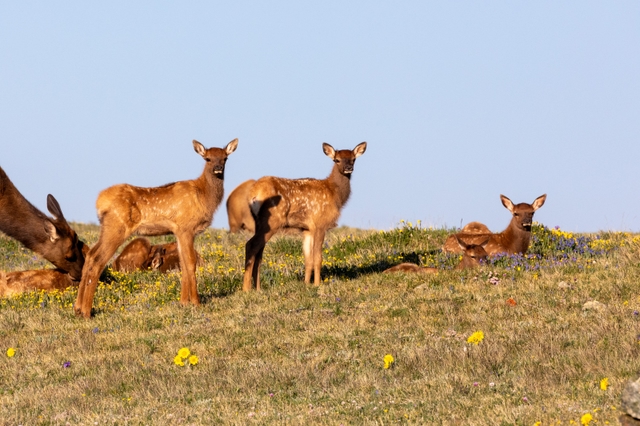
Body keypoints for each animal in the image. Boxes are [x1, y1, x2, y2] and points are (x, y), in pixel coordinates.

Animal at [74, 138, 238, 318]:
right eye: (207, 158)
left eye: (225, 158)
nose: (218, 168)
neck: (203, 196)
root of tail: (99, 202)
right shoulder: (186, 227)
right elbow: (190, 263)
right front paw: (196, 302)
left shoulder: (178, 231)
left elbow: (183, 263)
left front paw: (183, 303)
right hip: (117, 227)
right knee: (98, 260)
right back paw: (86, 312)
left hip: (107, 228)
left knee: (90, 255)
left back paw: (77, 309)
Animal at [243, 142, 367, 291]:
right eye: (336, 160)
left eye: (353, 159)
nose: (349, 168)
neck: (335, 194)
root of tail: (253, 193)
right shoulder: (320, 223)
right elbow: (318, 258)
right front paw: (317, 284)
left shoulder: (307, 229)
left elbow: (308, 258)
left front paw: (306, 284)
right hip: (273, 220)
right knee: (251, 245)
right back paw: (246, 289)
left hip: (259, 222)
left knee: (259, 251)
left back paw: (258, 288)